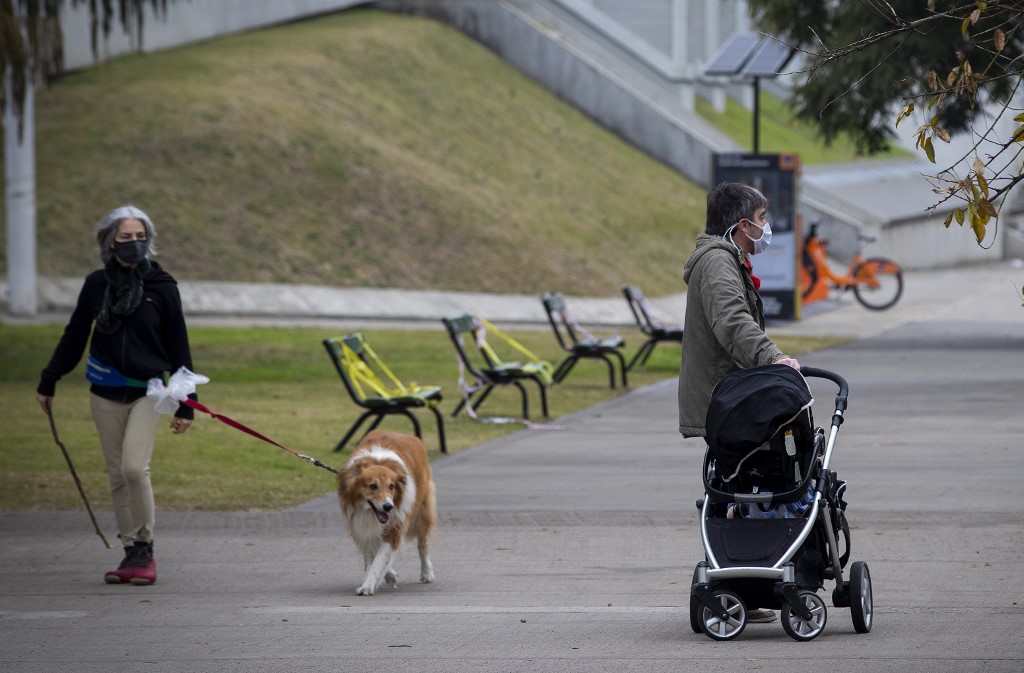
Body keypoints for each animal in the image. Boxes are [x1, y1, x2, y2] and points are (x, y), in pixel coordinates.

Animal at [335, 430, 432, 594]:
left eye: (391, 486)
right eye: (373, 486)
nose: (388, 507)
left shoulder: (394, 526)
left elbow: (379, 561)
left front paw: (367, 586)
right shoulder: (362, 527)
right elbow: (374, 558)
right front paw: (388, 576)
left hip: (422, 514)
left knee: (422, 544)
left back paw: (427, 573)